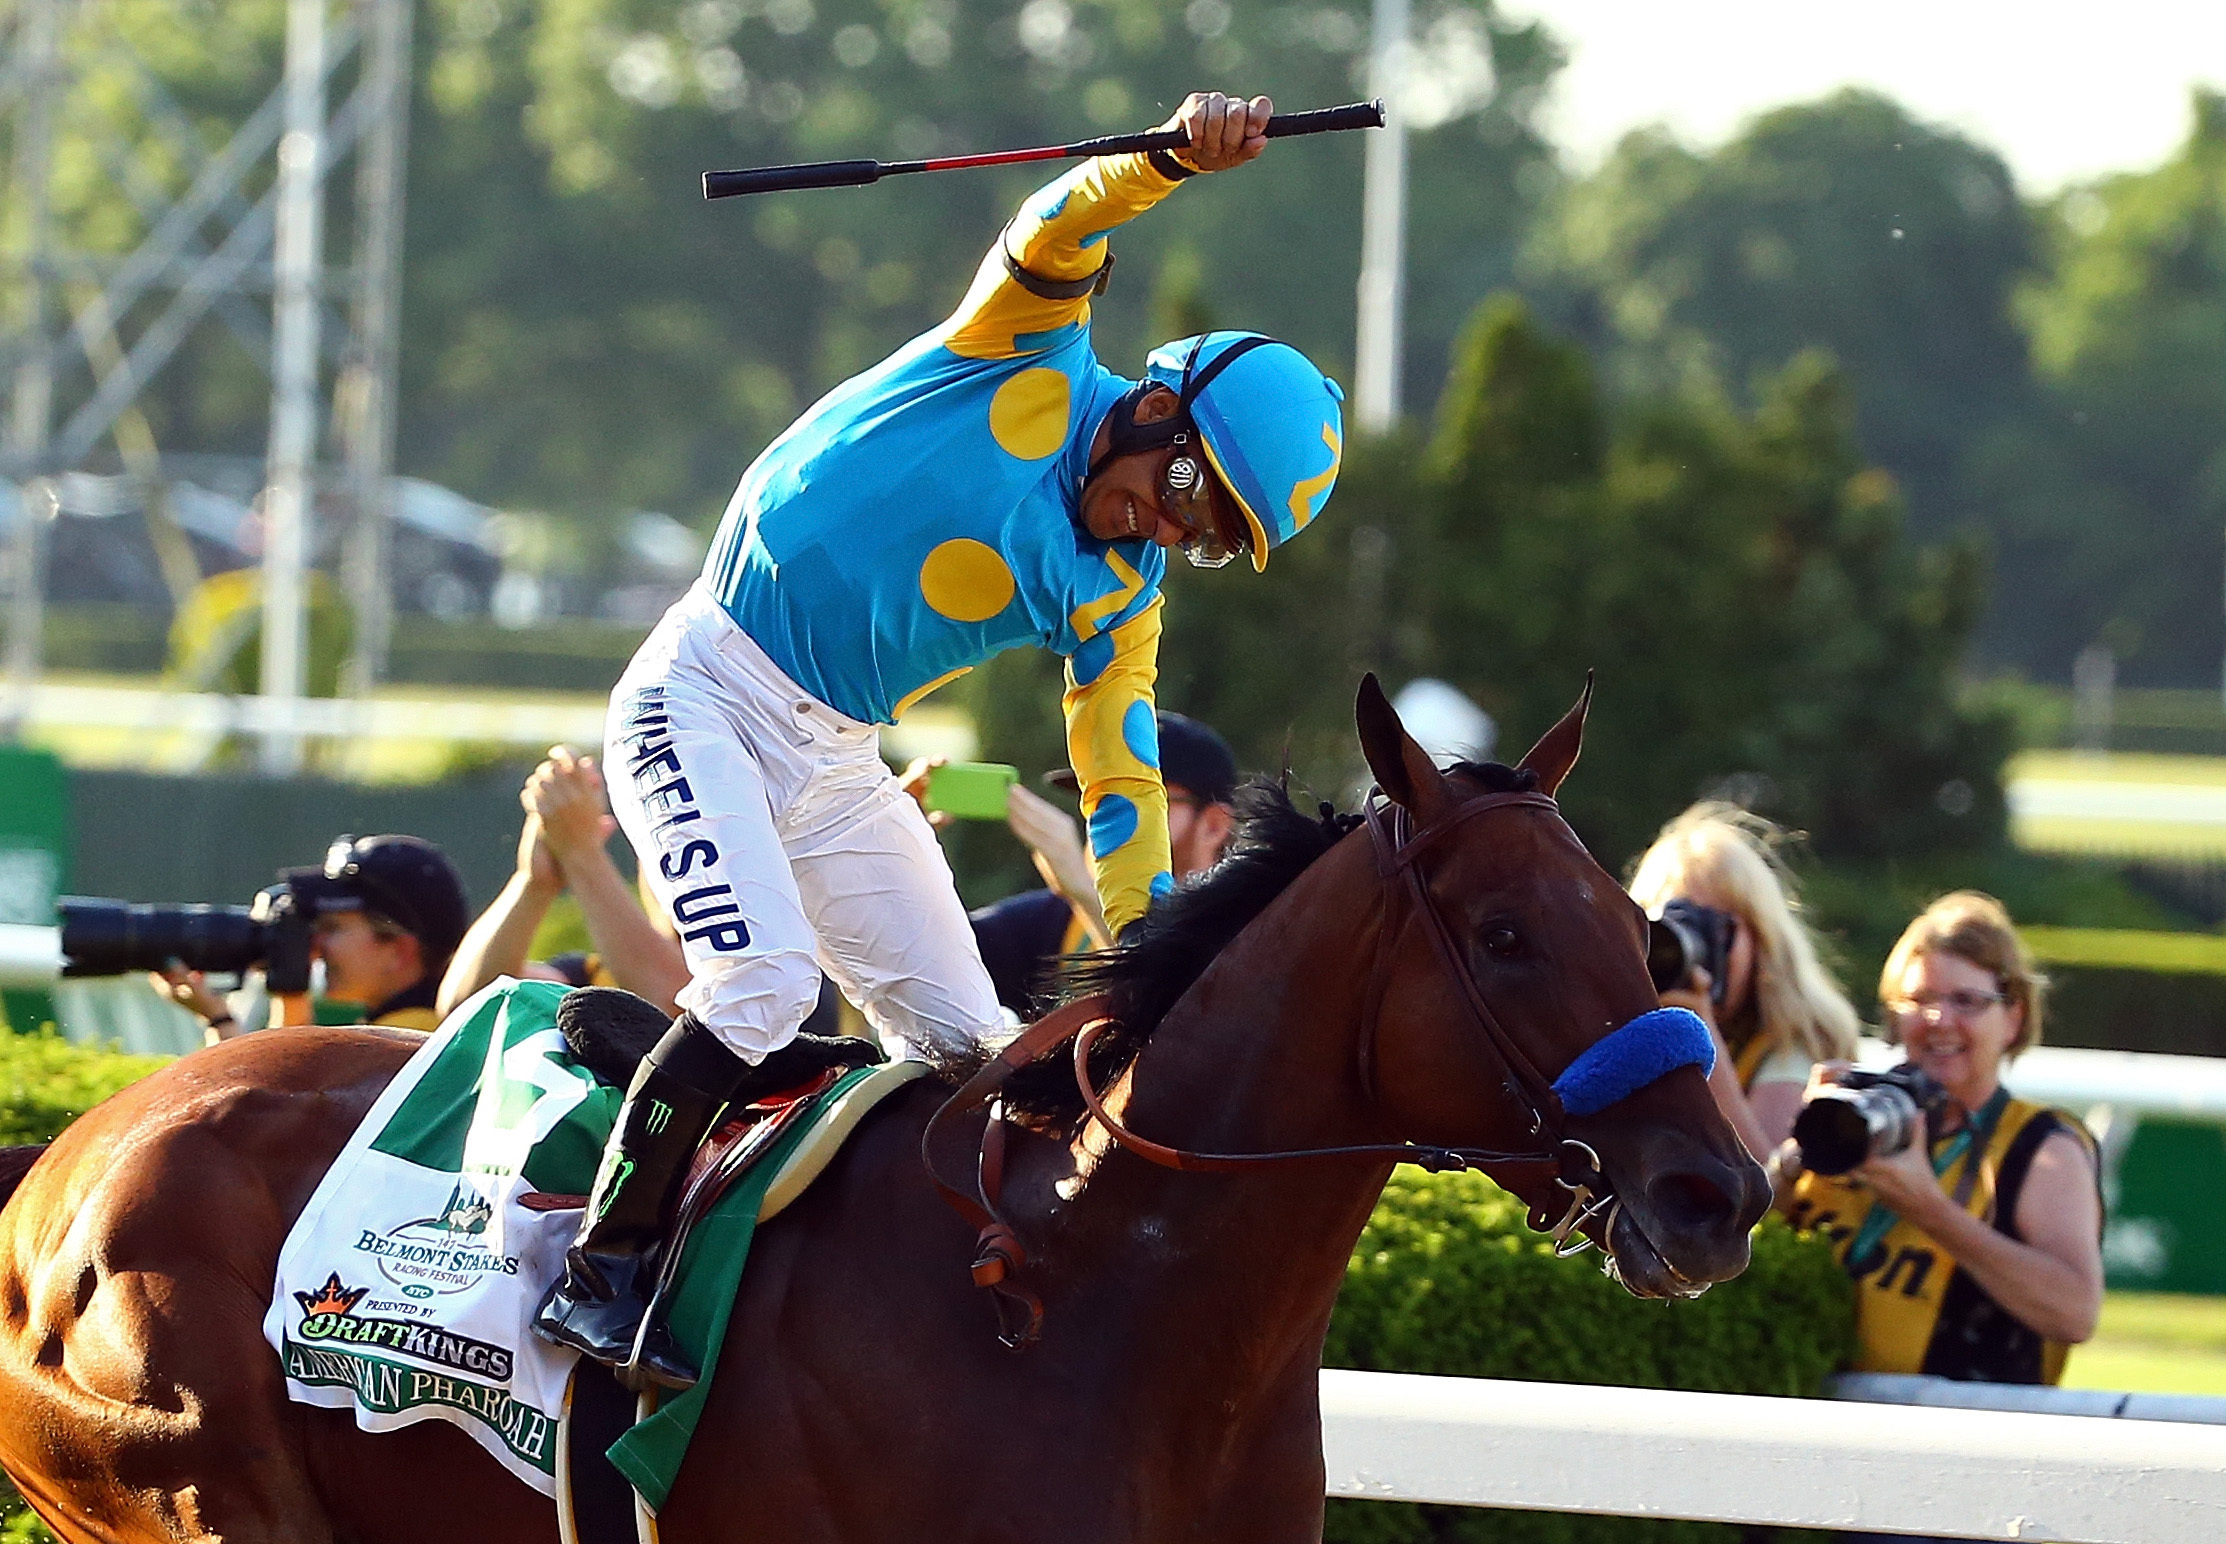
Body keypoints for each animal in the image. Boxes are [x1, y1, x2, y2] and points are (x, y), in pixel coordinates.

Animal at [4, 685, 1771, 1544]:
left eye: (1638, 923)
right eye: (1506, 935)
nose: (1719, 1195)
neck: (1076, 1302)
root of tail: (66, 1157)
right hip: (191, 1497)